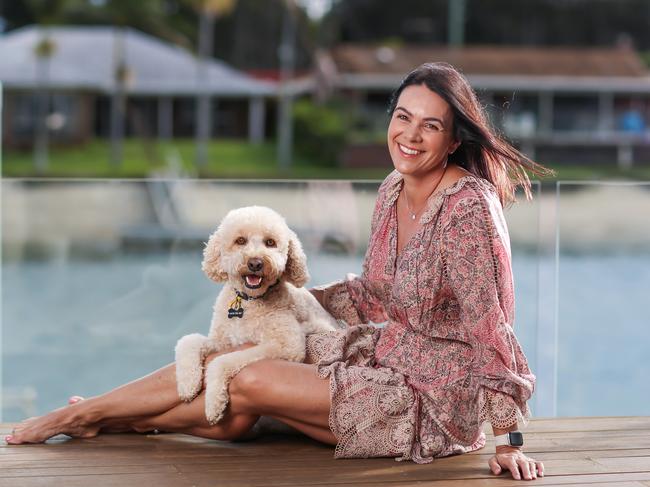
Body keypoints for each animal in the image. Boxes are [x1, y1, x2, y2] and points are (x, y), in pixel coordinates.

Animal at [177, 208, 340, 426]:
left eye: (270, 242)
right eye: (240, 240)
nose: (255, 263)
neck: (249, 302)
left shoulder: (287, 346)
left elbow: (221, 362)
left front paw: (213, 404)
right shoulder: (223, 341)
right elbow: (188, 341)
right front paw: (188, 384)